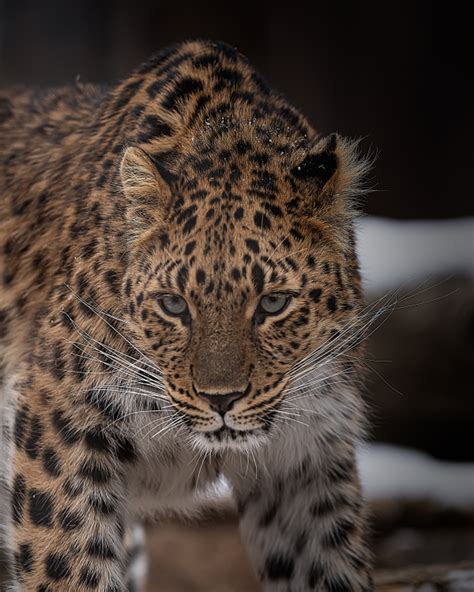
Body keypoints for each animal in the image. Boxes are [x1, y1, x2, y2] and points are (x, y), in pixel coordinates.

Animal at [0, 40, 374, 592]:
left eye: (273, 304)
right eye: (174, 305)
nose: (221, 399)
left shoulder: (306, 457)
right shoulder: (58, 419)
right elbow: (71, 563)